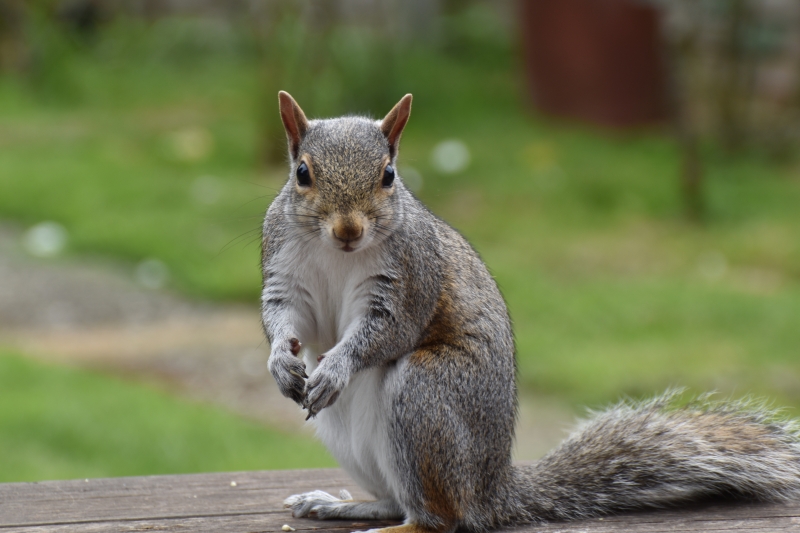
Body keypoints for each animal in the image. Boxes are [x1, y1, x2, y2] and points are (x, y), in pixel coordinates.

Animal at [260, 92, 800, 532]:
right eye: (302, 173)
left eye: (389, 175)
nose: (348, 230)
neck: (338, 254)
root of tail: (493, 490)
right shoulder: (284, 272)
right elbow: (285, 317)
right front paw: (281, 360)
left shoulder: (410, 278)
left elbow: (388, 331)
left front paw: (337, 366)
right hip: (352, 433)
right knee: (397, 501)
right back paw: (341, 504)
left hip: (425, 393)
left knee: (441, 518)